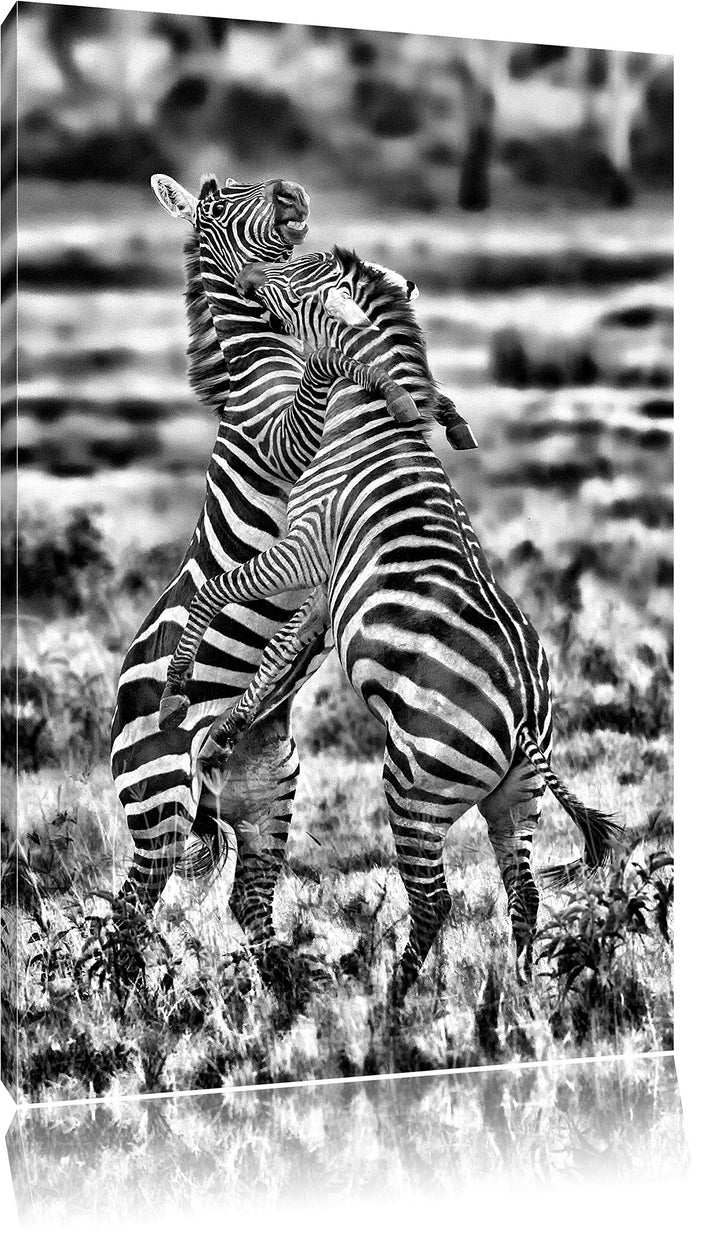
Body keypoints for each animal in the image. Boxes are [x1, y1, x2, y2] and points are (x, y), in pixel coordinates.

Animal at [159, 247, 621, 1001]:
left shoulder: (303, 549)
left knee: (434, 900)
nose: (249, 281)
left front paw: (177, 687)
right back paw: (520, 1000)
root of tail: (527, 714)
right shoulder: (322, 587)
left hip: (415, 784)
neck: (364, 417)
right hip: (515, 798)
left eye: (292, 287)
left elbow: (217, 596)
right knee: (524, 895)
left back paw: (393, 1000)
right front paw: (225, 730)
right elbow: (276, 661)